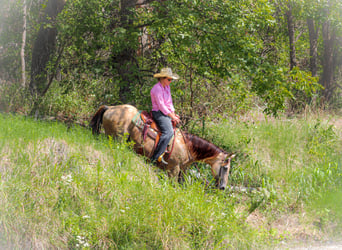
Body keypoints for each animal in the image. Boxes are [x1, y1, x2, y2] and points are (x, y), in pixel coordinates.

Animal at [89, 104, 235, 189]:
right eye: (225, 167)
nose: (223, 187)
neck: (187, 146)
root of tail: (111, 108)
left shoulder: (183, 170)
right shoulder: (173, 169)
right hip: (116, 139)